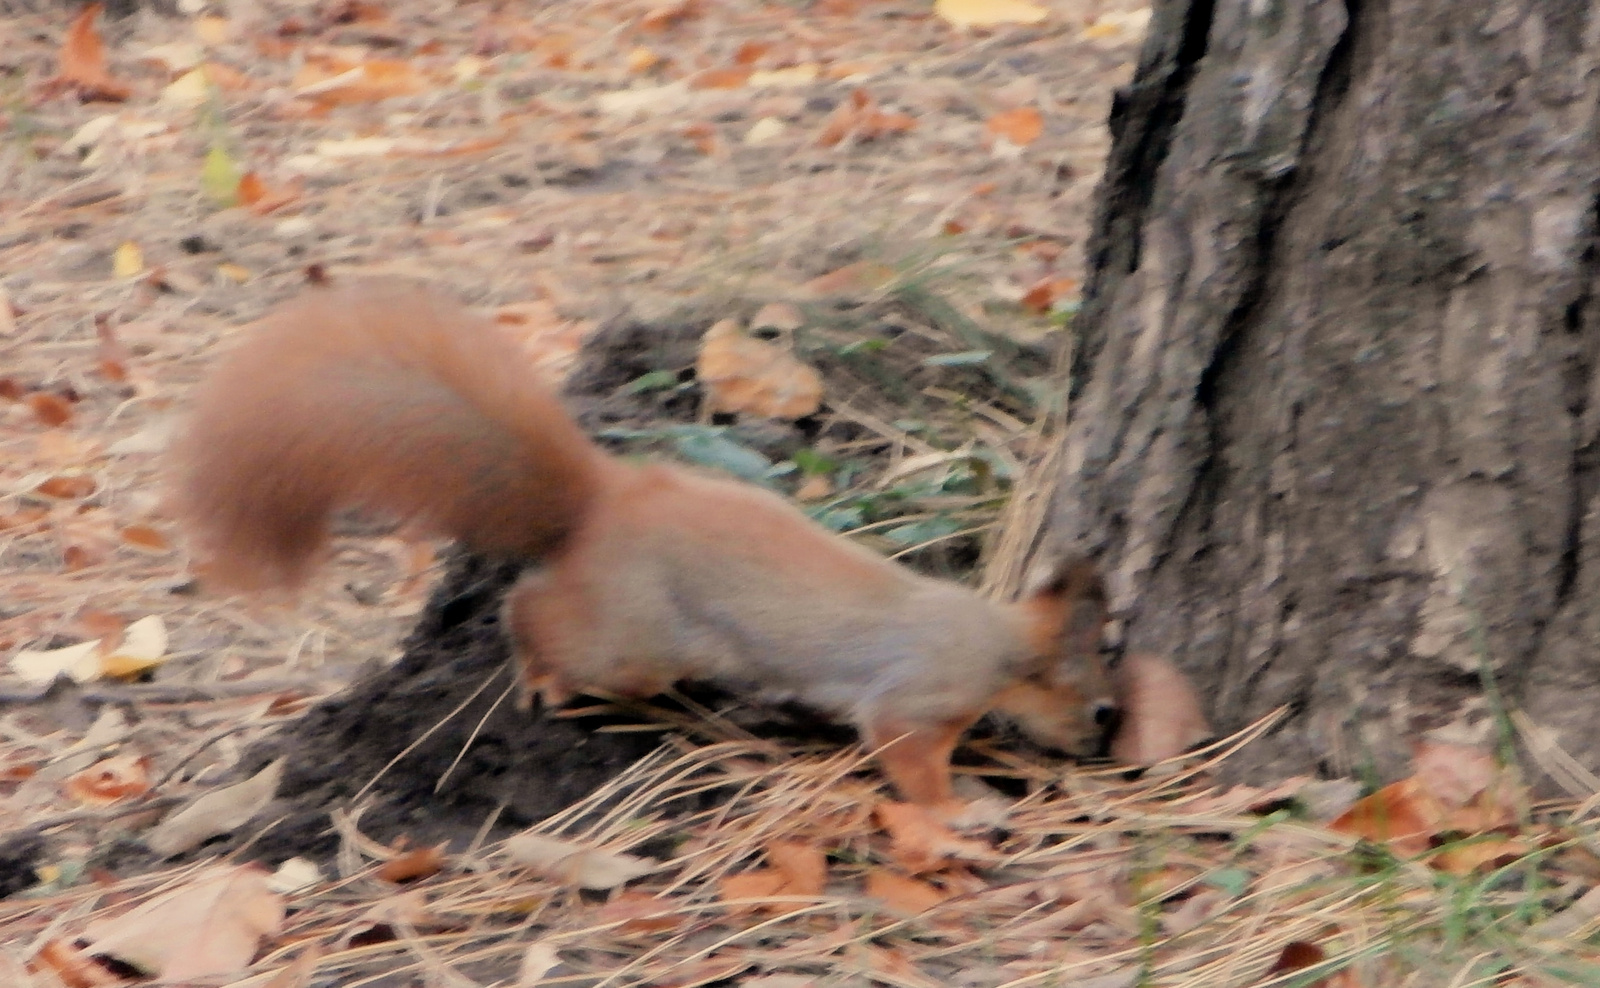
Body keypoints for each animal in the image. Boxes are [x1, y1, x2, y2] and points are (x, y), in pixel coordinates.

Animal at [172, 276, 1113, 808]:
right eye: (1095, 700)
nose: (1093, 746)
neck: (991, 637)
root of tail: (606, 504)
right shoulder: (914, 700)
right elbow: (905, 757)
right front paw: (952, 818)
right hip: (633, 641)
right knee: (536, 614)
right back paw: (541, 674)